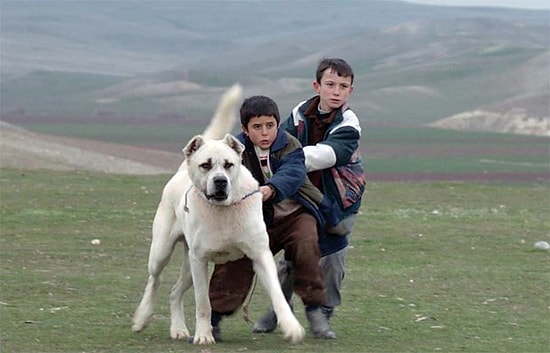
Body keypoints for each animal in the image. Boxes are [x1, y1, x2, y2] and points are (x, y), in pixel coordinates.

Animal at [133, 85, 306, 344]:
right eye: (206, 165)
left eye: (228, 164)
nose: (220, 181)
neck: (224, 210)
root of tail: (182, 171)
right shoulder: (200, 259)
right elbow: (203, 302)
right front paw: (204, 336)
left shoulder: (260, 255)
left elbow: (277, 294)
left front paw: (291, 326)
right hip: (163, 252)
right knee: (156, 280)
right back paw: (142, 318)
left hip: (188, 265)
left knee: (174, 291)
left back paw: (178, 329)